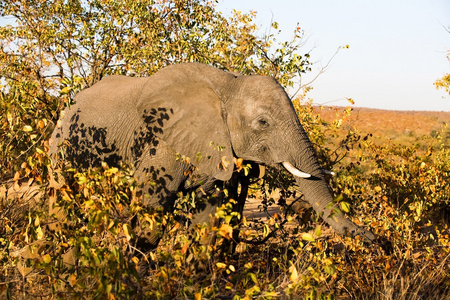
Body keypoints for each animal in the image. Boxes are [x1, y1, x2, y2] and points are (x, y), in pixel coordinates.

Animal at [48, 62, 376, 247]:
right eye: (263, 123)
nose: (375, 239)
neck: (229, 85)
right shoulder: (162, 143)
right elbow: (152, 214)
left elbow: (207, 216)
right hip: (62, 147)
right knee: (64, 213)